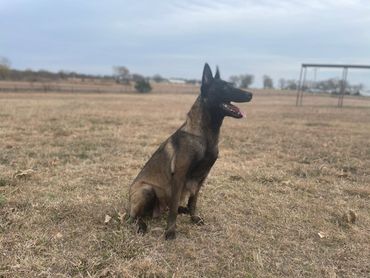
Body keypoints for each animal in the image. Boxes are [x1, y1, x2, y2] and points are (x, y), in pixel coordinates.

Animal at [126, 63, 251, 239]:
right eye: (225, 87)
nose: (251, 94)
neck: (205, 135)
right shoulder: (179, 176)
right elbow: (173, 210)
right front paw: (170, 231)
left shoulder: (201, 178)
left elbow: (193, 202)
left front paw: (194, 218)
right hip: (146, 190)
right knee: (137, 217)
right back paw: (142, 225)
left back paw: (181, 210)